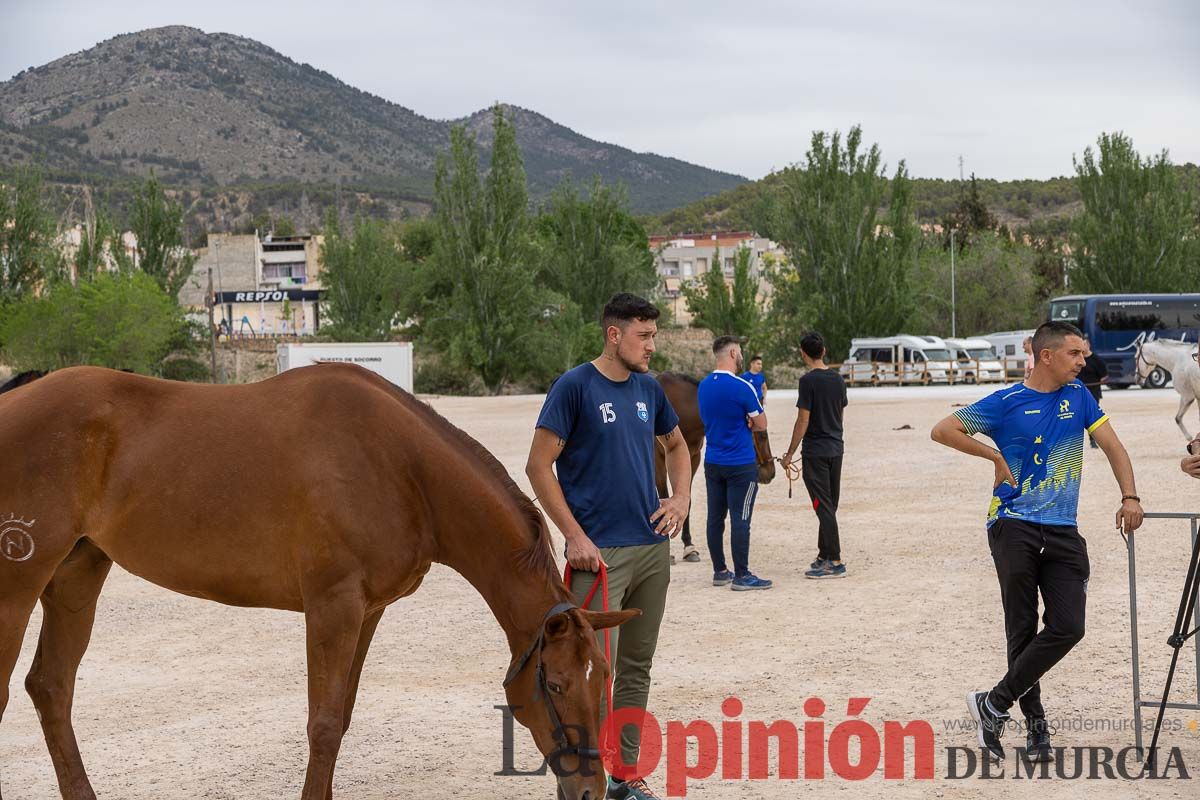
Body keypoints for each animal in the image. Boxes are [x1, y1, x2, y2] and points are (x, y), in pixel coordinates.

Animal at [0, 367, 638, 800]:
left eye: (603, 677)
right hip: (17, 586)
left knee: (51, 687)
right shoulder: (332, 606)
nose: (591, 789)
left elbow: (343, 715)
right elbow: (324, 724)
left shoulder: (368, 612)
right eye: (554, 685)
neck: (400, 467)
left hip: (77, 577)